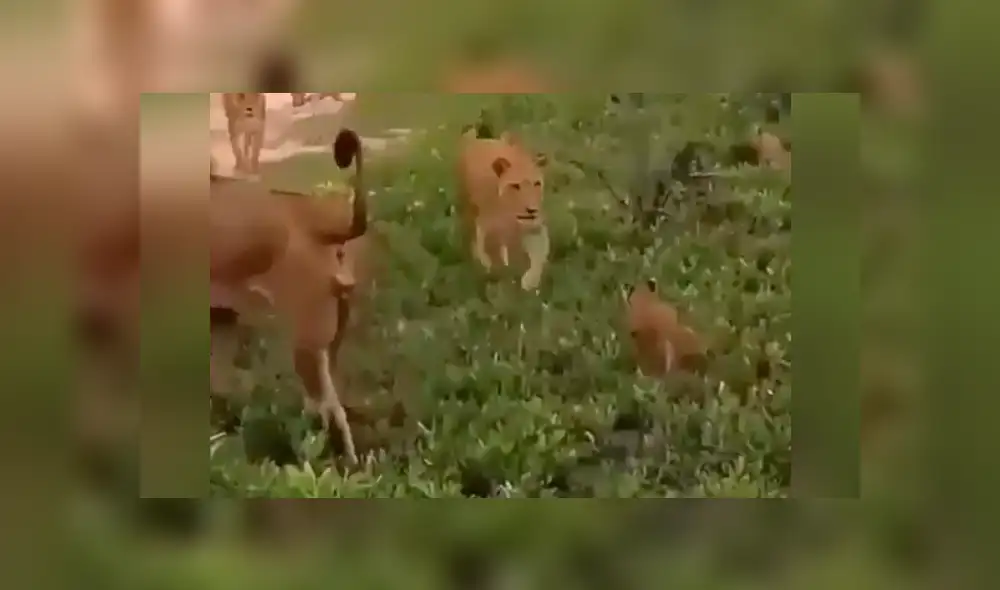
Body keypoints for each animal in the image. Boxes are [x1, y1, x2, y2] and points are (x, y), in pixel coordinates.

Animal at [457, 129, 550, 290]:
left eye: (536, 184)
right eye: (515, 186)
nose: (531, 210)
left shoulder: (534, 228)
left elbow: (539, 253)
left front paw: (529, 282)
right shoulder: (484, 227)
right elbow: (485, 251)